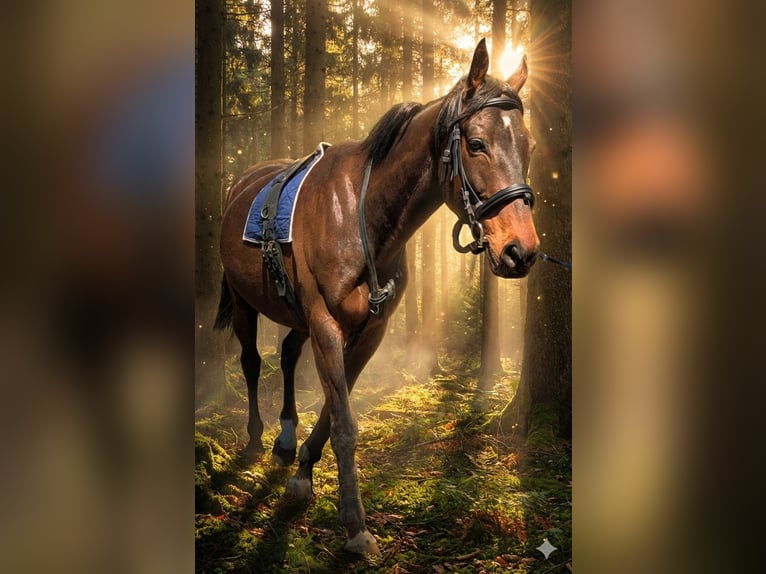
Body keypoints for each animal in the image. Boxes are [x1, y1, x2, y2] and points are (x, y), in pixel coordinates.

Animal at [214, 39, 540, 555]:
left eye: (529, 146)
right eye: (476, 144)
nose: (520, 251)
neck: (362, 214)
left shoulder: (370, 330)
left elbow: (333, 410)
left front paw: (303, 471)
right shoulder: (327, 325)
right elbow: (345, 425)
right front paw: (354, 523)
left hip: (296, 315)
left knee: (286, 356)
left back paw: (284, 440)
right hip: (246, 304)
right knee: (250, 362)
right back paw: (253, 440)